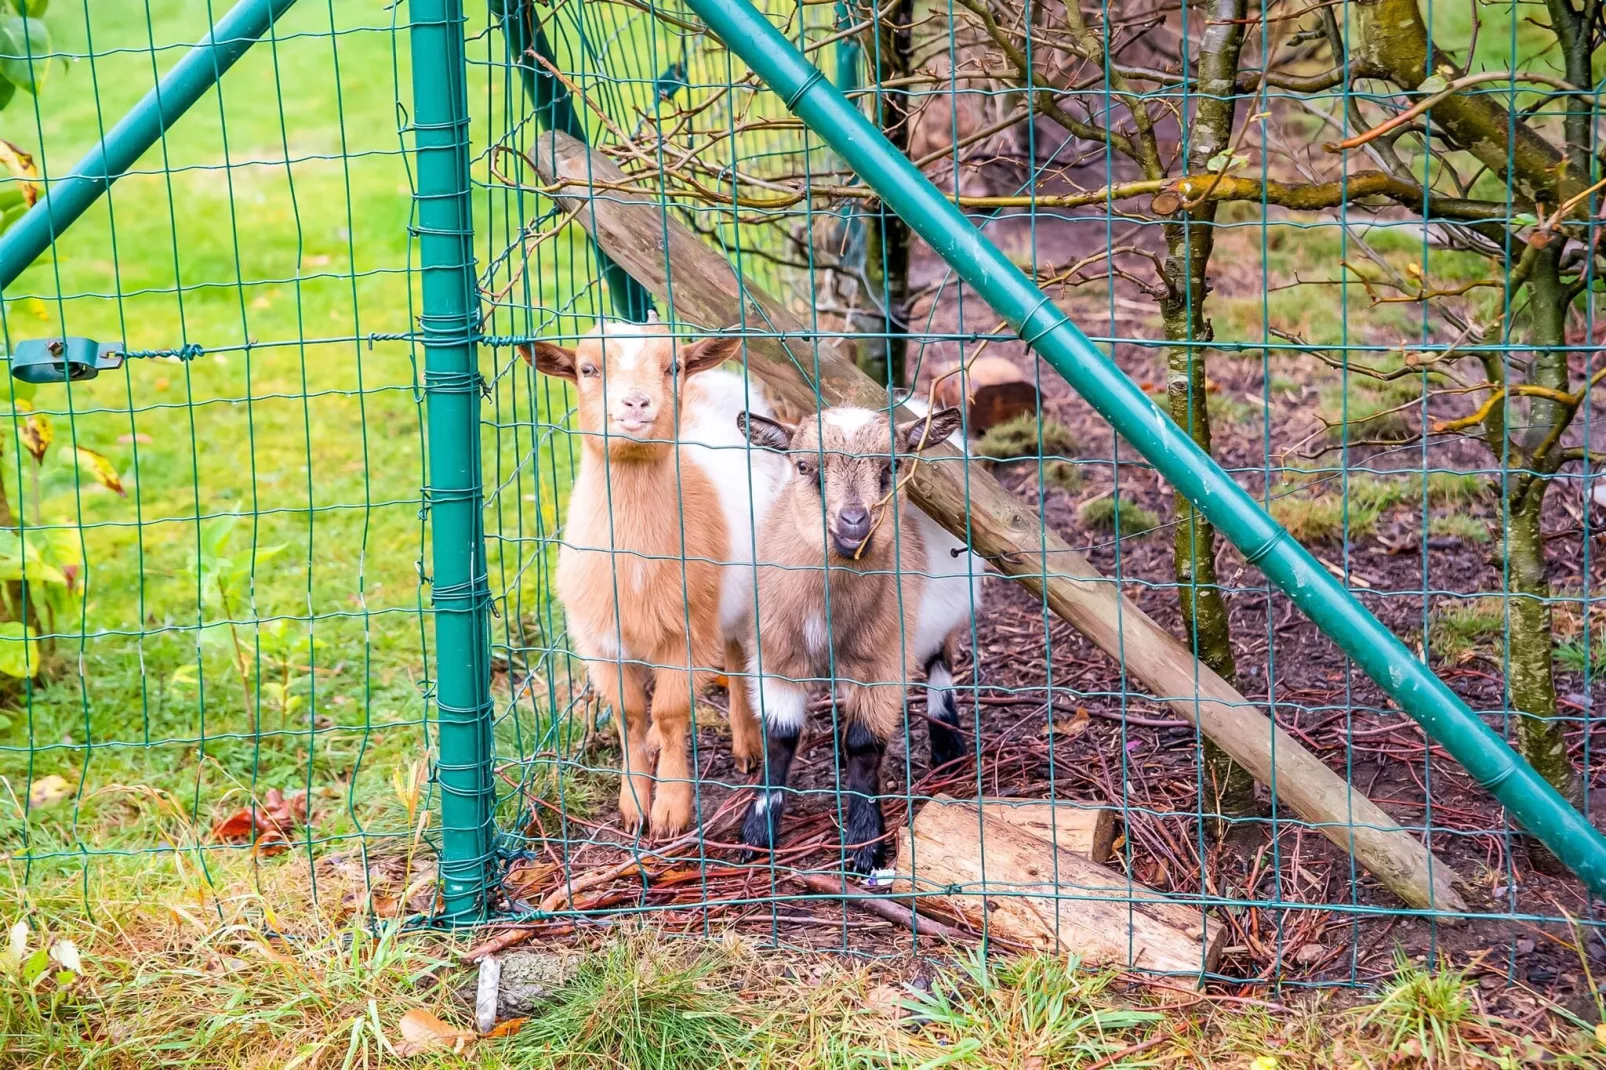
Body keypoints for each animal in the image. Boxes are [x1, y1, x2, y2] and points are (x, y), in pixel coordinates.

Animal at [520, 321, 783, 835]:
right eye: (587, 368)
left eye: (672, 366)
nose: (637, 403)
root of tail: (716, 378)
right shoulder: (601, 644)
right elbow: (630, 715)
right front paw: (633, 805)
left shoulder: (686, 633)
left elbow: (670, 711)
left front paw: (669, 812)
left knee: (738, 658)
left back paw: (747, 746)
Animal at [735, 400, 982, 867]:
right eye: (803, 466)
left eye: (892, 465)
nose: (853, 521)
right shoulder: (776, 655)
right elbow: (779, 735)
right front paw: (757, 828)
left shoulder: (881, 662)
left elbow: (866, 745)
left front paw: (866, 842)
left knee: (940, 661)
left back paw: (947, 743)